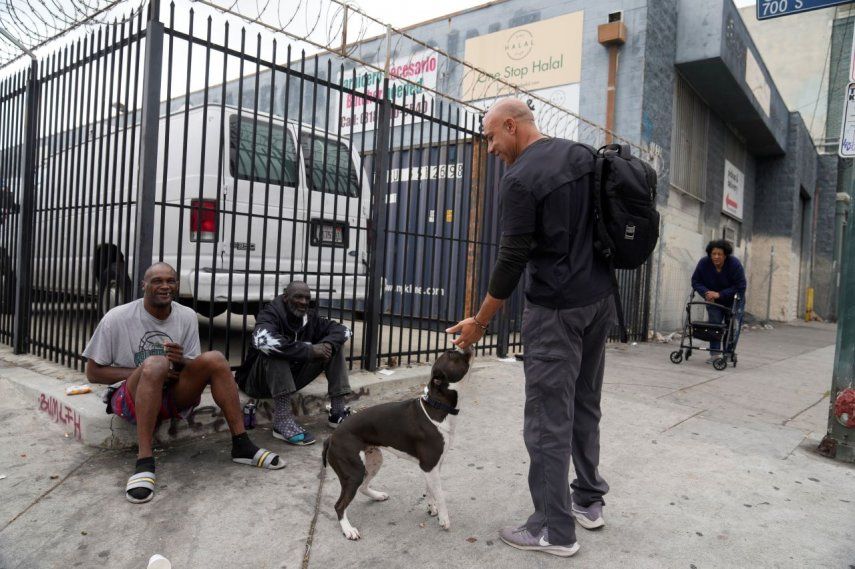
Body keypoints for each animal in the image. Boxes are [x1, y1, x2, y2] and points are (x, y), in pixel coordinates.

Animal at [324, 346, 478, 536]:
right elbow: (440, 494)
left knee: (362, 487)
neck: (436, 406)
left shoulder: (433, 467)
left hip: (374, 460)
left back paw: (377, 496)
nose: (463, 345)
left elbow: (430, 489)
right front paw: (444, 519)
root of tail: (332, 437)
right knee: (339, 505)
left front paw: (431, 507)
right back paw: (348, 530)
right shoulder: (430, 465)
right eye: (451, 354)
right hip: (353, 472)